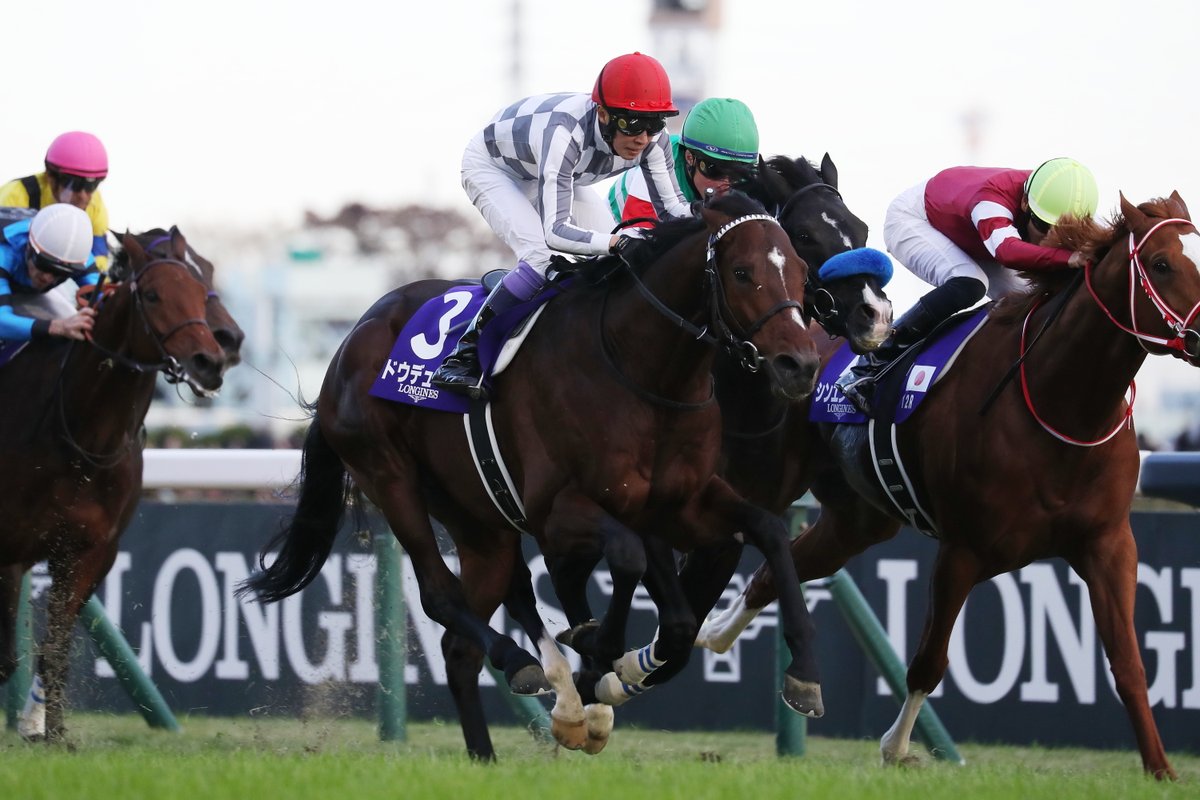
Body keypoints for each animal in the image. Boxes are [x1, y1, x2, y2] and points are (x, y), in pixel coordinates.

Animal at [0, 230, 232, 741]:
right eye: (153, 294)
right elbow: (6, 657)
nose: (210, 360)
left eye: (202, 282)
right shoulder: (8, 550)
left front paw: (56, 737)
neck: (81, 437)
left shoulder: (90, 552)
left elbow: (54, 652)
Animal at [240, 192, 823, 759]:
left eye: (799, 269)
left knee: (463, 641)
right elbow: (626, 559)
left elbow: (763, 537)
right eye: (742, 272)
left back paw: (494, 749)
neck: (640, 369)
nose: (800, 364)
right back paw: (525, 665)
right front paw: (598, 655)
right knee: (438, 594)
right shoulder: (558, 511)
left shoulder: (679, 502)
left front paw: (802, 675)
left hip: (477, 517)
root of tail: (347, 343)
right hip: (390, 476)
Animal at [696, 192, 1200, 780]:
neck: (1059, 402)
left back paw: (717, 635)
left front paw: (1161, 770)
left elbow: (1128, 662)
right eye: (1161, 264)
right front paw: (896, 749)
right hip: (768, 480)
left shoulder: (1109, 543)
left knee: (775, 571)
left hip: (858, 522)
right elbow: (928, 662)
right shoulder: (963, 549)